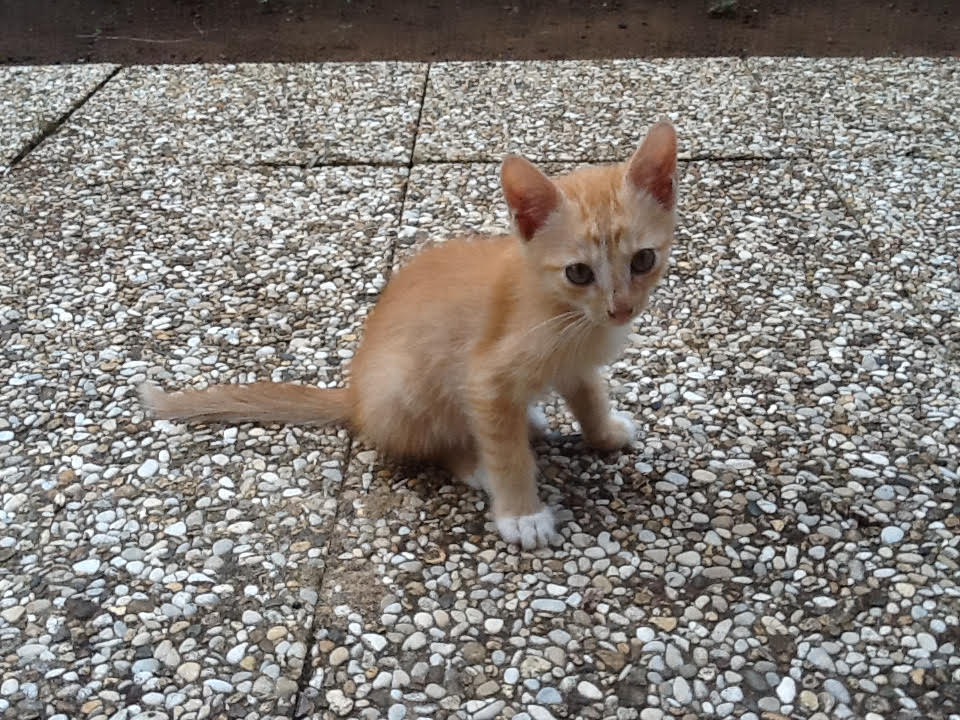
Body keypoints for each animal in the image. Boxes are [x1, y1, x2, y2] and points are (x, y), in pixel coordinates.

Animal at [141, 121, 678, 550]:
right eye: (579, 273)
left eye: (643, 260)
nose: (621, 308)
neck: (561, 311)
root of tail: (357, 397)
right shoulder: (486, 377)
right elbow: (506, 451)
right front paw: (521, 514)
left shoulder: (575, 361)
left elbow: (588, 394)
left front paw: (604, 433)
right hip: (408, 383)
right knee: (431, 437)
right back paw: (475, 461)